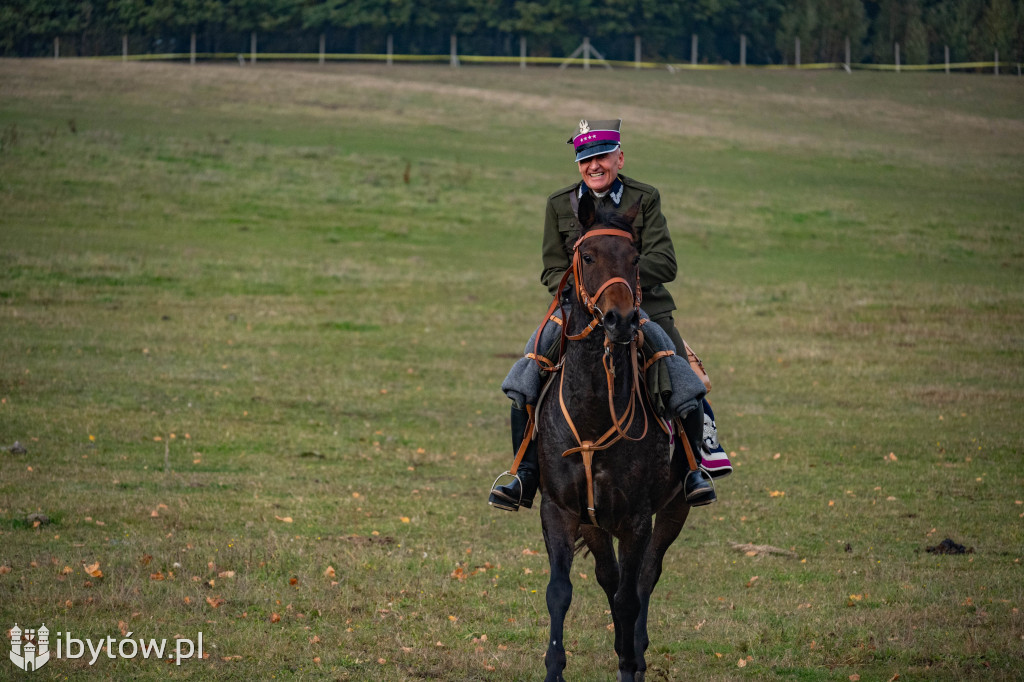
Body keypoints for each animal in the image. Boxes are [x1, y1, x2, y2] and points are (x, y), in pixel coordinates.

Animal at [528, 191, 704, 679]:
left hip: (676, 509)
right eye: (586, 255)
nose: (620, 320)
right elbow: (561, 592)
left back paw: (637, 652)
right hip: (595, 523)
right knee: (611, 579)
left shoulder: (637, 519)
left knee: (644, 579)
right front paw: (554, 667)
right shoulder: (561, 511)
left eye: (635, 257)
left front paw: (629, 661)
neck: (593, 415)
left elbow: (630, 597)